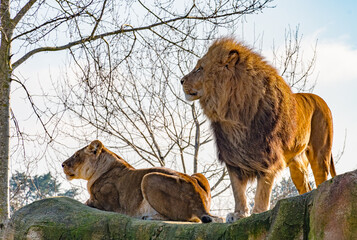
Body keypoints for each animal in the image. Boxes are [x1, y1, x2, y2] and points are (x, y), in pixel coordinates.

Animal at [62, 140, 222, 222]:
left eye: (76, 155)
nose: (62, 164)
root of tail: (201, 201)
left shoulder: (109, 205)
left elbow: (87, 202)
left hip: (148, 177)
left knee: (188, 218)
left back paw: (150, 217)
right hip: (199, 175)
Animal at [179, 38, 336, 223]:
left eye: (200, 68)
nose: (181, 81)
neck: (234, 114)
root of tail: (319, 99)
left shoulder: (267, 156)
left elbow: (263, 189)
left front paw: (258, 213)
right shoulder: (233, 156)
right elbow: (238, 190)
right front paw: (238, 214)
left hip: (320, 154)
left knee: (321, 179)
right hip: (296, 164)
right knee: (305, 185)